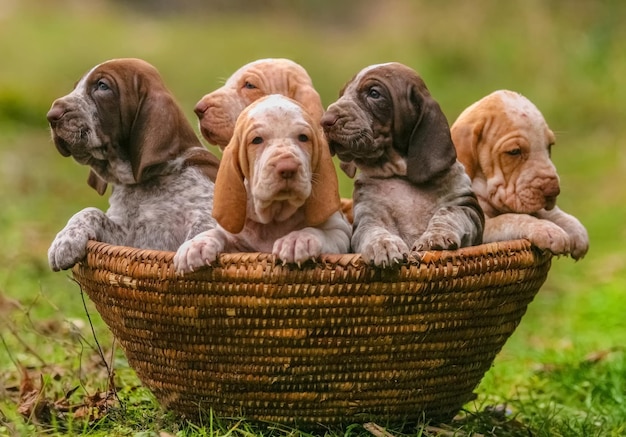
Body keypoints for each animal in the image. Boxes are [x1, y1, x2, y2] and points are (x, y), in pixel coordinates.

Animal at [45, 58, 219, 270]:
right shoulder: (129, 239)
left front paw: (193, 251)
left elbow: (204, 227)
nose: (51, 115)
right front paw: (64, 241)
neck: (143, 182)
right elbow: (90, 212)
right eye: (76, 87)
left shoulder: (207, 215)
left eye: (102, 86)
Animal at [322, 61, 482, 266]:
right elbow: (375, 231)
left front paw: (435, 236)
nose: (325, 121)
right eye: (342, 94)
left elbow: (448, 212)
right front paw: (383, 245)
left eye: (374, 93)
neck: (399, 174)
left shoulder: (468, 207)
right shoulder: (367, 216)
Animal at [450, 89, 588, 258]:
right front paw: (547, 230)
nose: (553, 191)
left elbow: (546, 211)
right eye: (514, 152)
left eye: (549, 146)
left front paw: (575, 229)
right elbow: (509, 218)